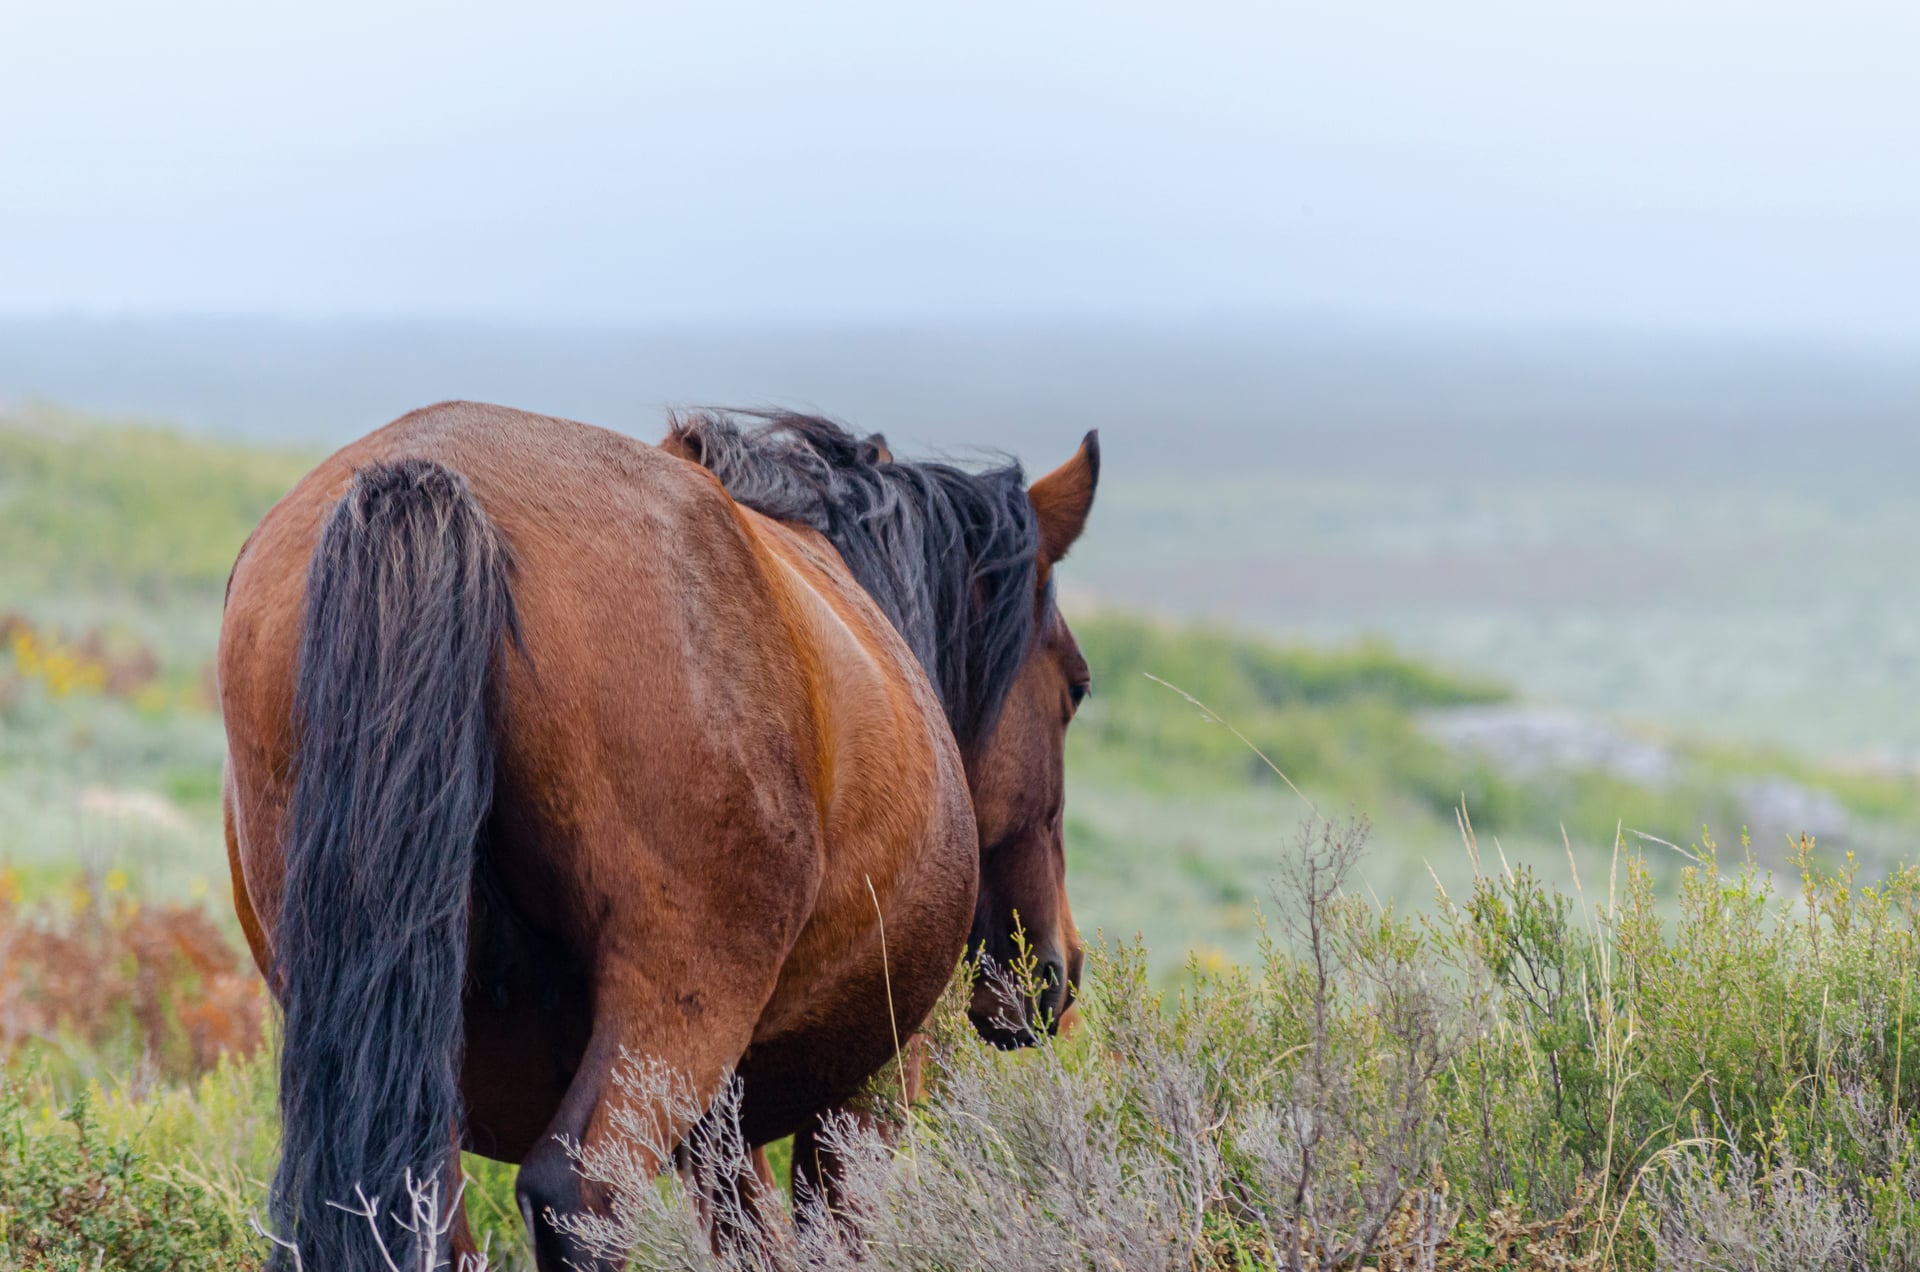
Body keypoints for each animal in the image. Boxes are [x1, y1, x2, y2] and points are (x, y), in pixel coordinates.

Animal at [217, 402, 1098, 1269]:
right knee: (579, 1198)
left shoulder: (722, 1127)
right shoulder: (864, 1088)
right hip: (675, 1018)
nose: (1054, 972)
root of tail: (434, 475)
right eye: (1077, 687)